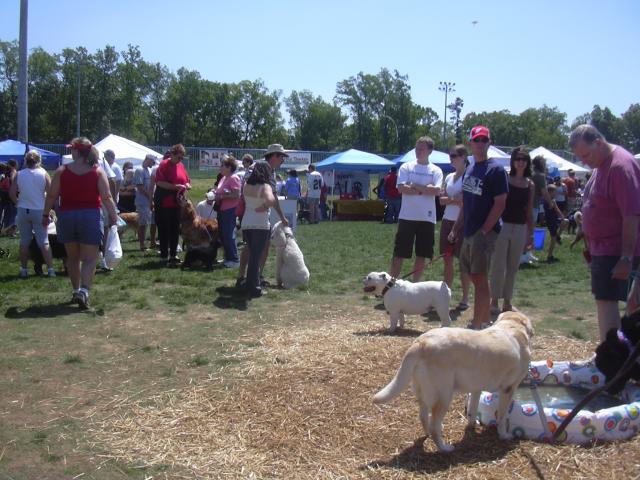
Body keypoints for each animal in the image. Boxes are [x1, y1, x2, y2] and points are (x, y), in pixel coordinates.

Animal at [372, 312, 532, 454]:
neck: (512, 326)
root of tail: (422, 342)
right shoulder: (508, 389)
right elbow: (502, 417)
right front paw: (504, 435)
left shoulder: (476, 389)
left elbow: (472, 410)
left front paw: (472, 425)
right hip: (444, 397)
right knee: (435, 427)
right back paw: (444, 448)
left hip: (423, 394)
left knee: (424, 418)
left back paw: (427, 434)